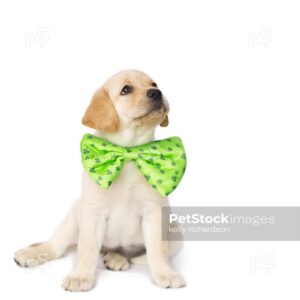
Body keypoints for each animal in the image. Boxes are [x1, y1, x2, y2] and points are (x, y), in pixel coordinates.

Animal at [14, 69, 185, 290]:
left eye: (154, 84)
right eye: (126, 89)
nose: (156, 92)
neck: (128, 154)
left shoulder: (153, 212)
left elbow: (157, 249)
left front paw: (165, 273)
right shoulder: (93, 212)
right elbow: (86, 249)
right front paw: (81, 276)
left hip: (175, 234)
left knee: (138, 256)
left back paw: (116, 258)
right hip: (74, 215)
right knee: (57, 246)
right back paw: (33, 253)